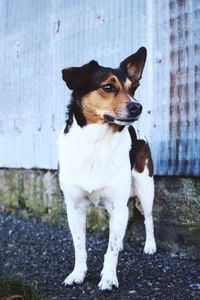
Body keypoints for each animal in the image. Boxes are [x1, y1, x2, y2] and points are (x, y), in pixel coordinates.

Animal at [57, 47, 156, 290]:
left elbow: (110, 251)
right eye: (108, 87)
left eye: (132, 88)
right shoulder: (74, 207)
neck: (97, 142)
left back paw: (150, 246)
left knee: (148, 218)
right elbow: (80, 247)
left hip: (145, 187)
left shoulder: (117, 205)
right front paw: (78, 274)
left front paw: (109, 278)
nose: (137, 106)